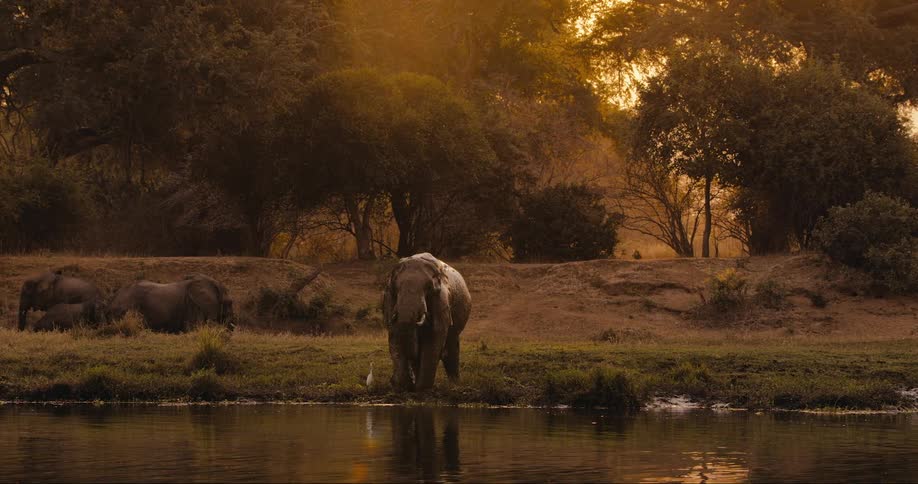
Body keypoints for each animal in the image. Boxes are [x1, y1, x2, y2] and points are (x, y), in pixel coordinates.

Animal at [383, 253, 471, 392]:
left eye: (429, 287)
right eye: (396, 288)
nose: (391, 381)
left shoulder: (441, 299)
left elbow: (434, 335)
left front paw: (422, 389)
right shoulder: (389, 300)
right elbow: (394, 333)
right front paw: (403, 386)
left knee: (452, 344)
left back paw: (455, 384)